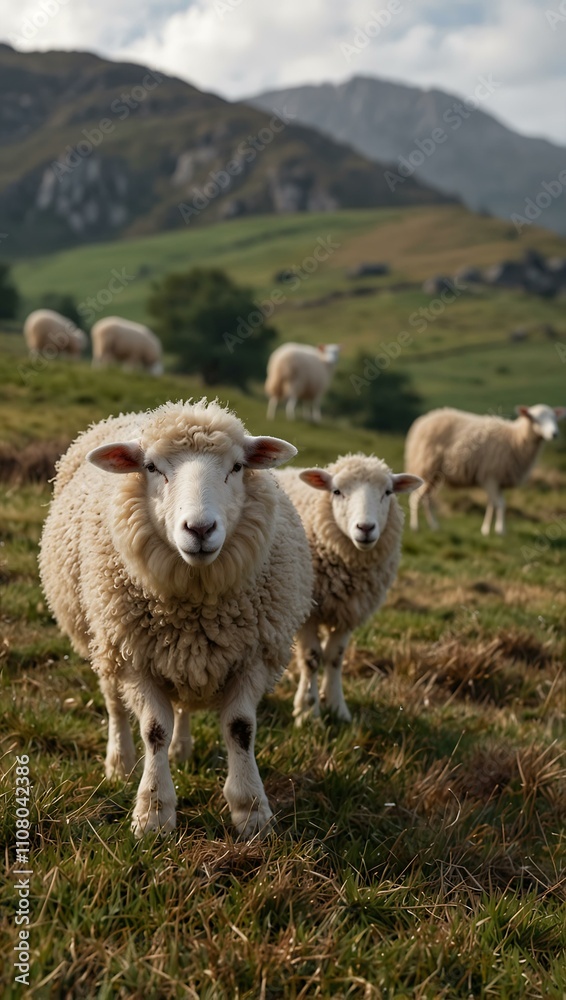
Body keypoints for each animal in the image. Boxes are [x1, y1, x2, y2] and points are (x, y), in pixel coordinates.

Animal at [39, 399, 313, 838]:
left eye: (238, 466)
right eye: (151, 467)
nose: (199, 529)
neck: (196, 602)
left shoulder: (253, 656)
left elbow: (240, 728)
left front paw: (251, 811)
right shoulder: (134, 657)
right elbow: (154, 730)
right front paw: (153, 813)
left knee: (182, 703)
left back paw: (183, 750)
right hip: (104, 641)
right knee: (115, 704)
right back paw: (120, 763)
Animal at [276, 454, 422, 726]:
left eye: (387, 492)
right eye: (337, 491)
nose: (365, 528)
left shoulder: (350, 612)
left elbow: (335, 657)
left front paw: (336, 707)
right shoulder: (308, 612)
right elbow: (312, 658)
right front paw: (308, 712)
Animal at [405, 404, 566, 536]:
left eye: (554, 418)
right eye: (535, 419)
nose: (555, 434)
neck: (516, 438)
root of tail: (422, 420)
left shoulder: (498, 480)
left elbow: (494, 504)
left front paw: (487, 530)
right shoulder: (490, 475)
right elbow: (499, 504)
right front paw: (500, 531)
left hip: (435, 475)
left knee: (427, 498)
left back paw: (434, 526)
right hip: (426, 468)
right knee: (416, 496)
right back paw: (415, 527)